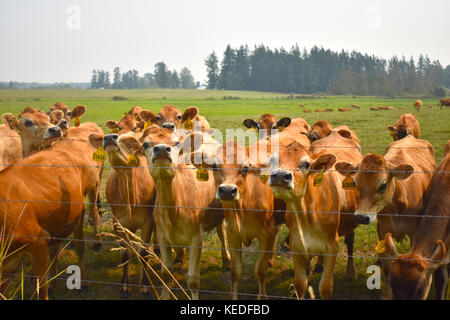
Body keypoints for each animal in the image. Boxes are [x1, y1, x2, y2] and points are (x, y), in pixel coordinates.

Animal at [89, 130, 157, 298]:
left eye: (132, 141)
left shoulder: (148, 220)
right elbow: (126, 254)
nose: (109, 137)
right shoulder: (118, 222)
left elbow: (143, 253)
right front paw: (125, 286)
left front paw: (144, 286)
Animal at [131, 125, 230, 300]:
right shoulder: (162, 237)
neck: (174, 207)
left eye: (177, 143)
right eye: (146, 144)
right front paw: (164, 295)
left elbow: (193, 280)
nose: (161, 149)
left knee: (222, 233)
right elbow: (165, 273)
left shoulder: (196, 239)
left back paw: (226, 261)